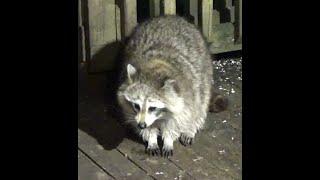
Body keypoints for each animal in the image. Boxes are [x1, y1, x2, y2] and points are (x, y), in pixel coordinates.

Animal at [115, 15, 215, 157]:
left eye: (152, 108)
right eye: (136, 106)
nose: (141, 125)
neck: (154, 66)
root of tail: (171, 16)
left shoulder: (185, 96)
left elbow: (177, 121)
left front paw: (168, 139)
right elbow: (147, 126)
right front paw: (151, 138)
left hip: (203, 71)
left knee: (200, 102)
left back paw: (191, 126)